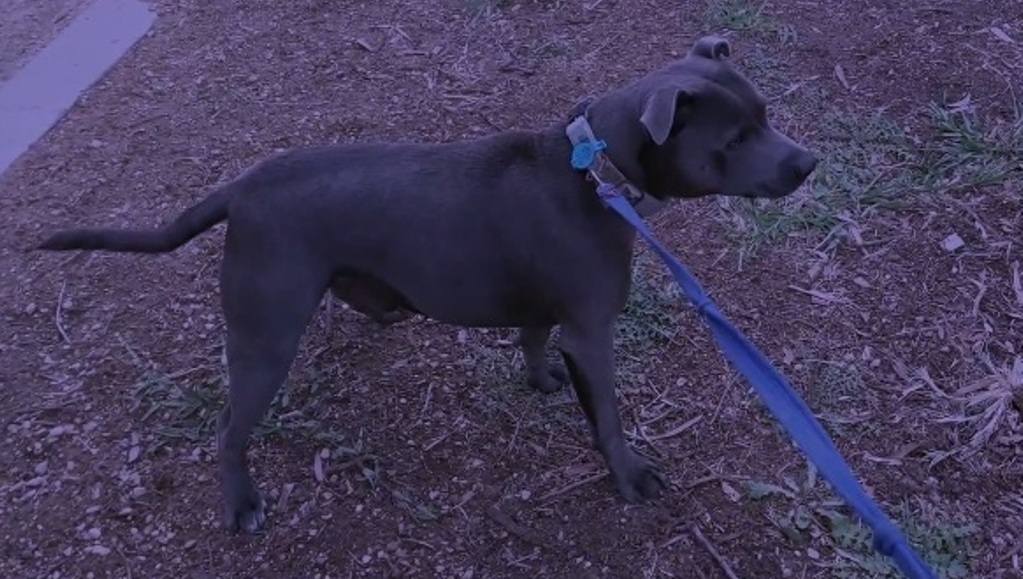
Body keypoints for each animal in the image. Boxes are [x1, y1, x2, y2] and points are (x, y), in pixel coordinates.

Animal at [37, 36, 814, 536]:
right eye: (734, 139)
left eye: (767, 115)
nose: (806, 163)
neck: (593, 169)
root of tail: (241, 190)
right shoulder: (591, 334)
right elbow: (609, 418)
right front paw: (628, 474)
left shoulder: (547, 309)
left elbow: (532, 337)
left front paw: (538, 379)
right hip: (265, 338)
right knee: (230, 429)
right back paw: (241, 502)